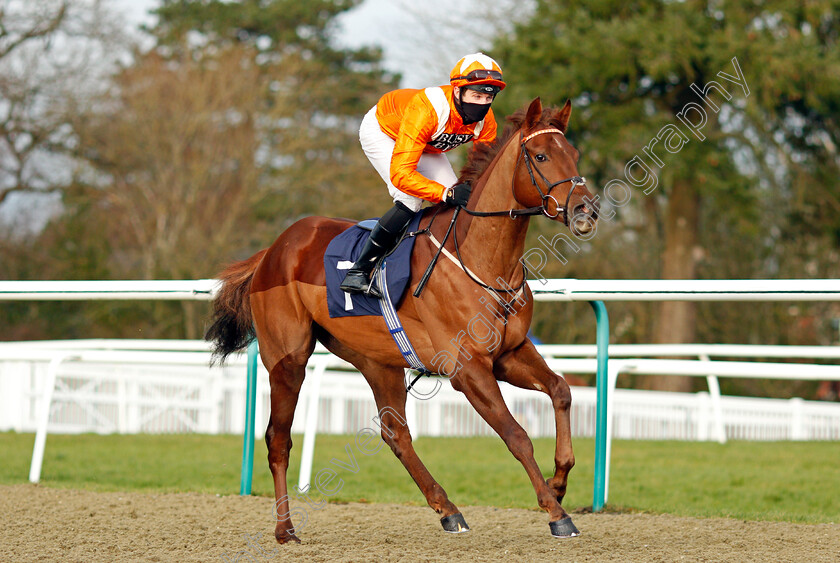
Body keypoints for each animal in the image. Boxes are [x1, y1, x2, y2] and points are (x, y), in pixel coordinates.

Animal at [208, 96, 604, 540]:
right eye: (540, 156)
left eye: (574, 154)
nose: (586, 210)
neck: (480, 259)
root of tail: (273, 250)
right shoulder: (468, 368)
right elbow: (516, 435)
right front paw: (556, 513)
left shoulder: (510, 353)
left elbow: (561, 391)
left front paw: (560, 481)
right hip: (287, 359)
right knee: (278, 439)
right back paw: (285, 529)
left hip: (377, 360)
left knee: (395, 433)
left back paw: (448, 509)